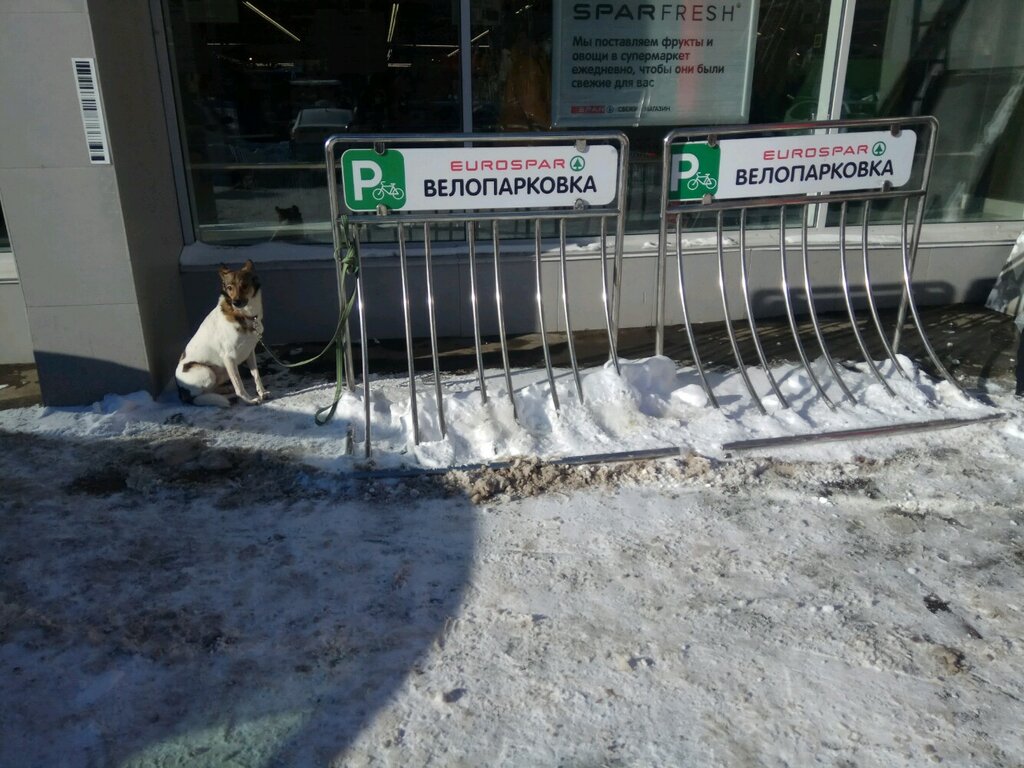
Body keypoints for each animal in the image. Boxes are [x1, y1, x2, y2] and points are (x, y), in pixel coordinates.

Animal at [176, 260, 269, 407]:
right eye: (229, 287)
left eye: (244, 286)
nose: (236, 302)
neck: (242, 315)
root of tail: (181, 392)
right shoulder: (229, 357)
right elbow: (239, 385)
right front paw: (249, 400)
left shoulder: (249, 352)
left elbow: (256, 375)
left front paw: (262, 392)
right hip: (208, 372)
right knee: (201, 395)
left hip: (223, 370)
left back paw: (224, 389)